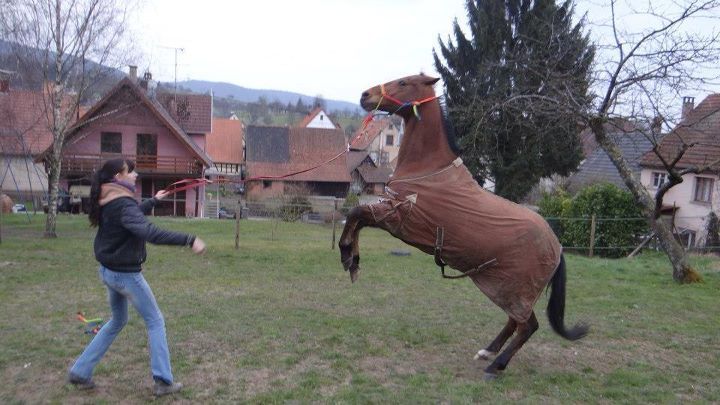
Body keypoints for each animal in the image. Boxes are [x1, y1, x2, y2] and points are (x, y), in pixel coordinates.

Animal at [338, 73, 588, 380]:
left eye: (405, 82)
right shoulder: (392, 211)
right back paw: (487, 352)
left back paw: (496, 365)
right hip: (507, 289)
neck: (429, 169)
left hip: (515, 290)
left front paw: (348, 256)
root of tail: (557, 247)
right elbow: (357, 219)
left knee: (528, 326)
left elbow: (357, 213)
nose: (366, 96)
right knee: (515, 322)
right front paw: (353, 260)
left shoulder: (400, 217)